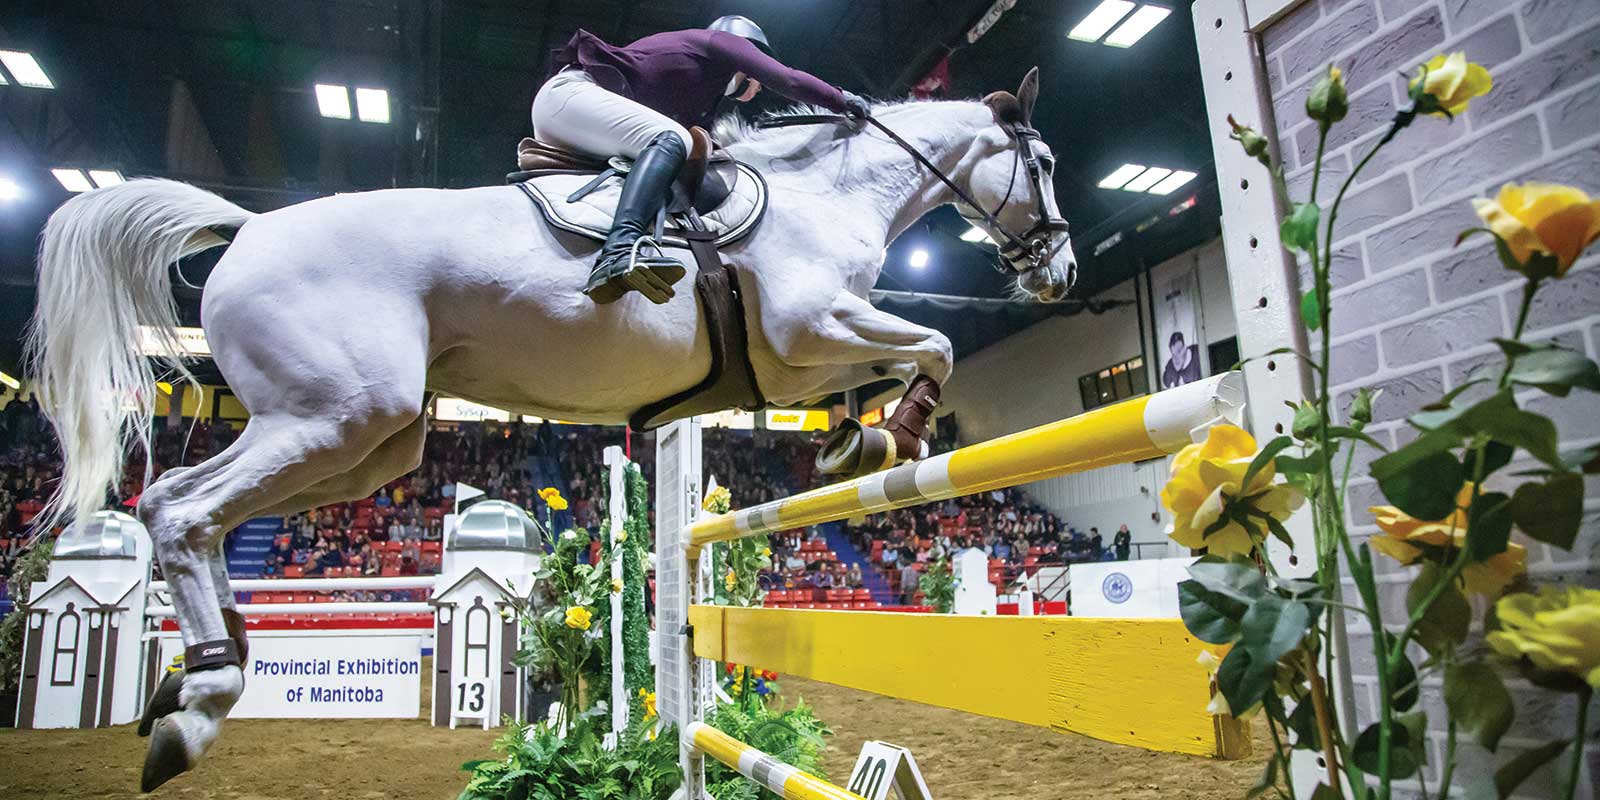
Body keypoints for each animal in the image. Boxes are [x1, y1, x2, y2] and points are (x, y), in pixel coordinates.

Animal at [28, 68, 1075, 787]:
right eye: (1046, 163)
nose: (1060, 271)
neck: (826, 194)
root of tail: (246, 227)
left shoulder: (795, 363)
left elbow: (906, 359)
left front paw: (859, 438)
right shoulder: (810, 325)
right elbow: (938, 343)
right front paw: (892, 437)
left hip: (368, 443)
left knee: (196, 514)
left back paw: (198, 680)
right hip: (335, 417)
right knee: (177, 507)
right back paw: (200, 700)